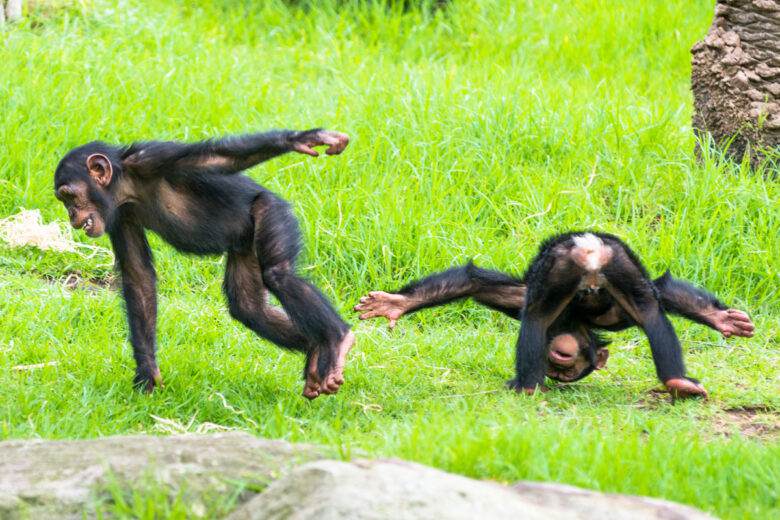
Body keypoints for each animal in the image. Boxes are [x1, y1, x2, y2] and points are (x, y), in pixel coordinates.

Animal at [55, 129, 356, 398]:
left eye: (69, 196)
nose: (71, 214)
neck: (127, 185)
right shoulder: (121, 217)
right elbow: (138, 277)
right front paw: (147, 374)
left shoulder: (153, 159)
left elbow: (217, 159)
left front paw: (302, 139)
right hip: (244, 248)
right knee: (249, 308)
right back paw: (316, 353)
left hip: (270, 211)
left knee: (278, 274)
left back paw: (337, 339)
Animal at [356, 232, 752, 398]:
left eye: (565, 371)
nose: (556, 368)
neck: (578, 322)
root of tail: (589, 248)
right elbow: (475, 283)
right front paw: (394, 303)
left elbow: (475, 283)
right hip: (584, 264)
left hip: (591, 265)